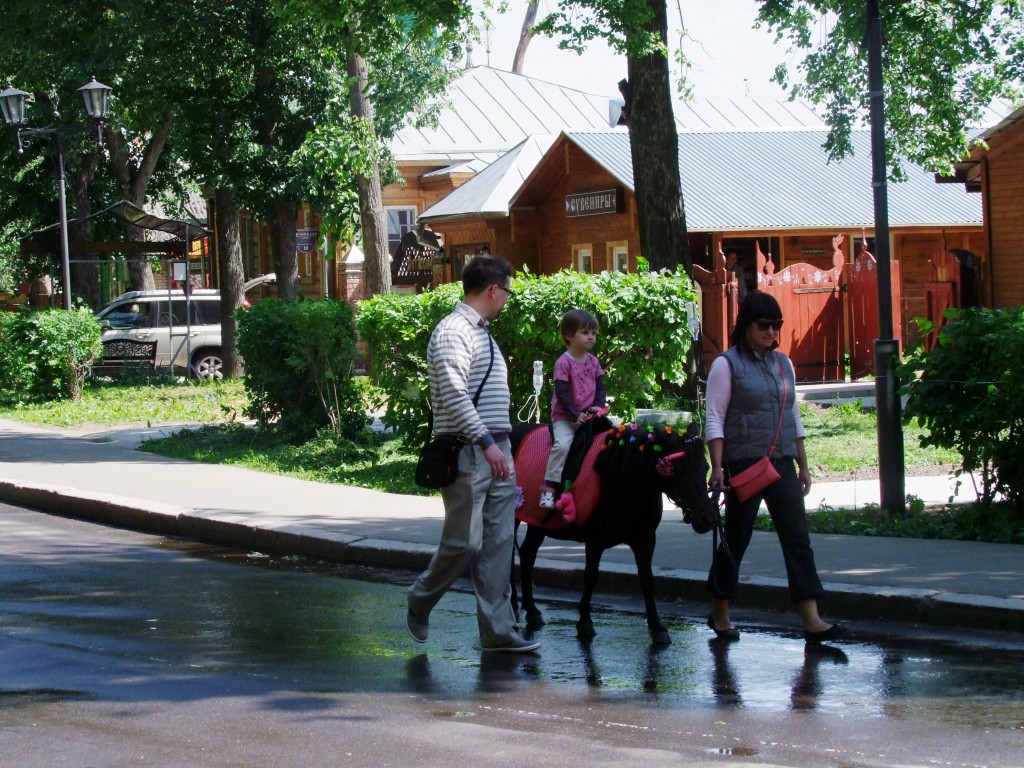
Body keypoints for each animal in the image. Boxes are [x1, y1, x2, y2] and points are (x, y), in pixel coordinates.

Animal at [509, 421, 712, 651]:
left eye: (705, 468)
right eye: (679, 470)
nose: (707, 519)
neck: (626, 476)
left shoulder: (645, 540)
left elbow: (647, 582)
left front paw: (657, 628)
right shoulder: (595, 540)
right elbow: (590, 578)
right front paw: (585, 621)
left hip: (536, 523)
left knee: (527, 555)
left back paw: (532, 609)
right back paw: (514, 606)